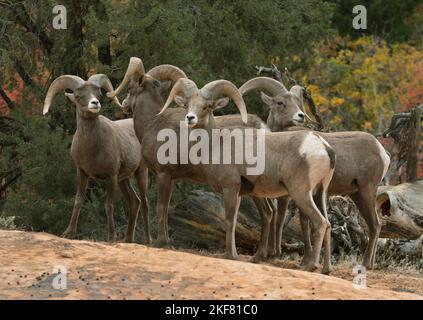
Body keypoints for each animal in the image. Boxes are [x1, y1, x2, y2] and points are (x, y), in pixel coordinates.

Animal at [42, 74, 152, 244]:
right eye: (79, 96)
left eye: (99, 94)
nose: (95, 103)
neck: (92, 149)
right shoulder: (82, 173)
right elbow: (78, 201)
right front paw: (68, 234)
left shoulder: (111, 176)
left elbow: (109, 206)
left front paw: (111, 237)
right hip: (124, 179)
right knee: (135, 202)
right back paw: (127, 240)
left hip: (140, 172)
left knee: (145, 203)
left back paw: (148, 241)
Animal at [151, 77, 336, 272]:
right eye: (187, 105)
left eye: (207, 106)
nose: (190, 118)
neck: (215, 145)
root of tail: (324, 148)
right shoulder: (239, 193)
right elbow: (232, 222)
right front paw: (235, 254)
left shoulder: (230, 189)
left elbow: (229, 220)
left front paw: (229, 255)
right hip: (320, 193)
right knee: (328, 224)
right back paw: (326, 269)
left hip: (301, 193)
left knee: (320, 223)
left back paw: (309, 266)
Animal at [240, 77, 392, 270]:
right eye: (280, 103)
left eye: (297, 103)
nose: (300, 116)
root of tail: (382, 152)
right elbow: (305, 223)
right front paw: (306, 260)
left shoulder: (291, 193)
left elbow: (284, 218)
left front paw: (280, 255)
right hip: (357, 195)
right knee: (375, 226)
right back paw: (369, 265)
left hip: (366, 192)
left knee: (374, 225)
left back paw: (364, 265)